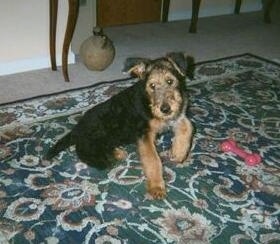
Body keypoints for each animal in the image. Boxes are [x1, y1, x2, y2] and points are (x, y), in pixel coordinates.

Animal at [45, 52, 195, 199]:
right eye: (152, 85)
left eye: (170, 81)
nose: (165, 109)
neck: (149, 103)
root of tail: (77, 129)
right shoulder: (144, 133)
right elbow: (153, 159)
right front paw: (157, 187)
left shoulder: (177, 117)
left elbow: (188, 126)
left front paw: (179, 152)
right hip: (101, 129)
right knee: (83, 149)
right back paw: (105, 160)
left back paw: (117, 152)